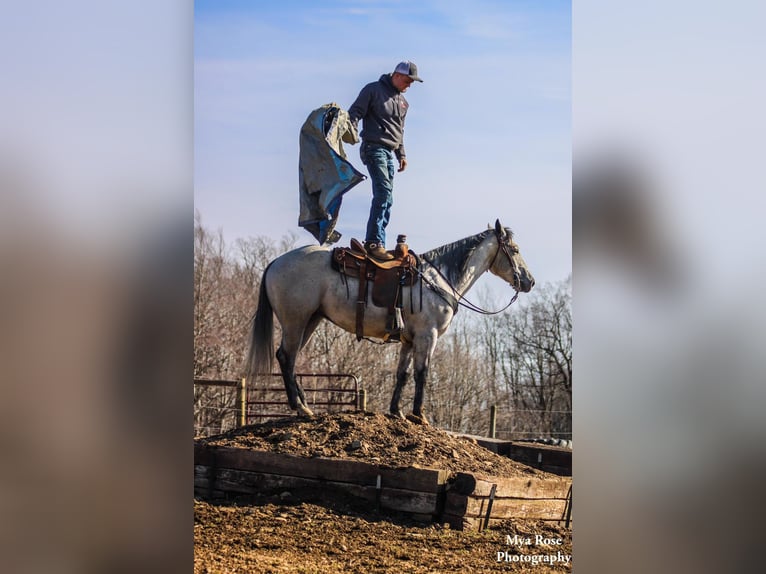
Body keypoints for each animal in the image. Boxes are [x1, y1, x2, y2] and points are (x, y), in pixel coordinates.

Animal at [249, 220, 536, 424]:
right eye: (515, 250)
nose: (529, 281)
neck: (438, 279)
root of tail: (275, 262)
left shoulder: (408, 340)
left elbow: (402, 374)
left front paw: (396, 411)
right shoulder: (427, 336)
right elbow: (422, 373)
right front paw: (419, 415)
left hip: (311, 320)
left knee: (290, 357)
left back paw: (305, 405)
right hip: (295, 320)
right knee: (286, 357)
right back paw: (300, 408)